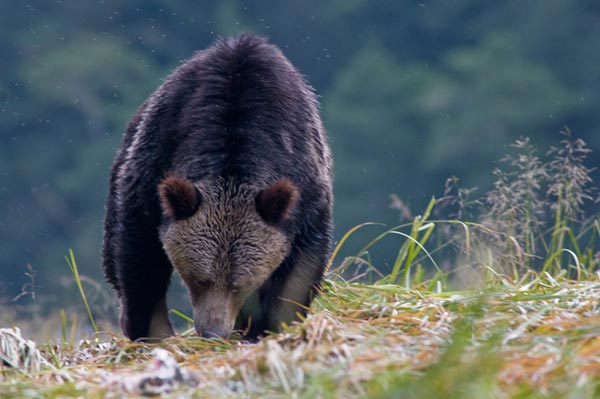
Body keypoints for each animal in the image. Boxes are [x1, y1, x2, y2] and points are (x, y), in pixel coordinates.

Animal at [104, 32, 338, 342]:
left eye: (240, 283)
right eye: (199, 278)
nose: (212, 332)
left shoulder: (305, 188)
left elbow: (300, 265)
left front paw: (266, 325)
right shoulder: (154, 163)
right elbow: (139, 251)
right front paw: (150, 327)